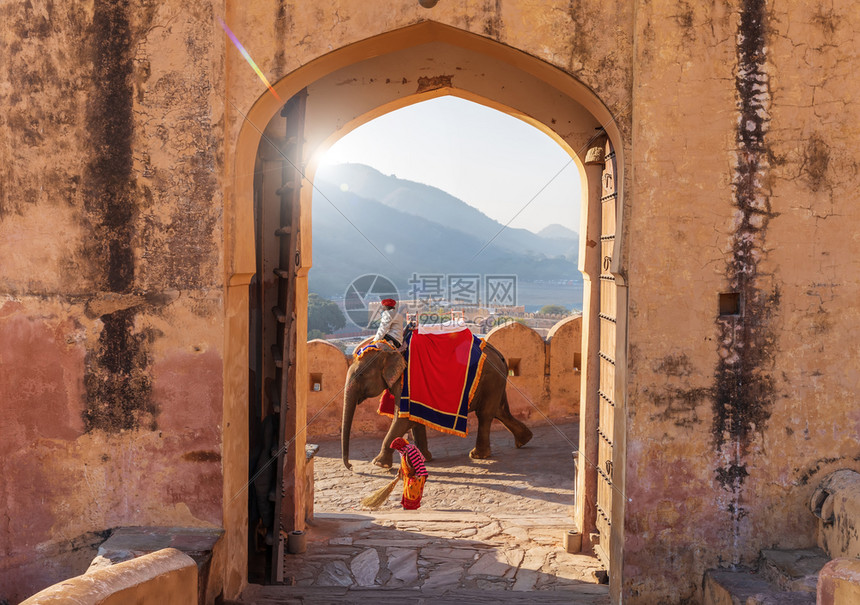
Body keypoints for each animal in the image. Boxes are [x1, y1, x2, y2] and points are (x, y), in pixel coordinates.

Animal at [340, 338, 532, 470]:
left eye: (361, 375)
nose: (351, 467)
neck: (394, 349)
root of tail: (500, 356)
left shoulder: (408, 383)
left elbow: (404, 419)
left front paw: (379, 464)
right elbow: (414, 418)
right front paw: (424, 459)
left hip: (491, 379)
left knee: (485, 415)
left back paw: (478, 455)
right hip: (496, 381)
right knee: (500, 411)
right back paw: (524, 440)